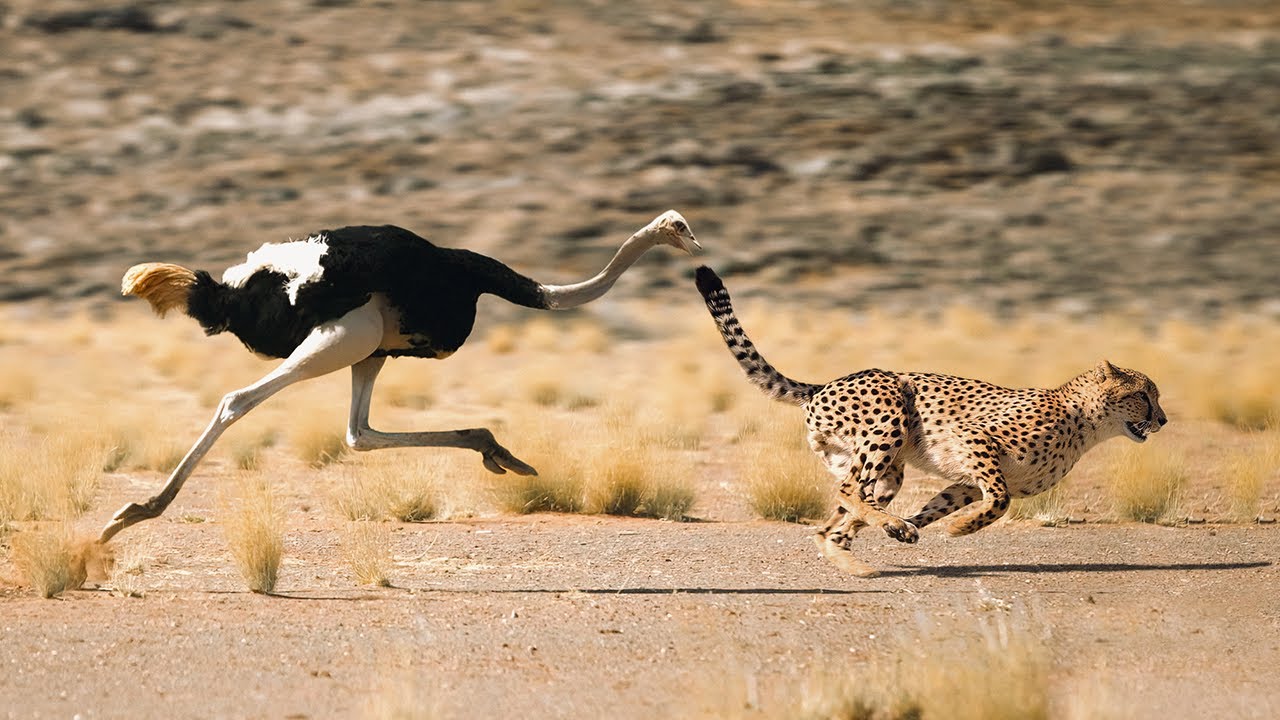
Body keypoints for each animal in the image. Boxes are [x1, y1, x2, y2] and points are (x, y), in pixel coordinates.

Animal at [696, 266, 1167, 573]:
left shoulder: (966, 481)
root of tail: (823, 384)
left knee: (839, 513)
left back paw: (852, 555)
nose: (1162, 420)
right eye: (1143, 395)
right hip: (889, 416)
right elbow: (999, 500)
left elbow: (940, 507)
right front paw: (957, 529)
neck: (1085, 421)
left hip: (884, 468)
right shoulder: (974, 437)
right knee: (849, 490)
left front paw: (919, 525)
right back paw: (876, 534)